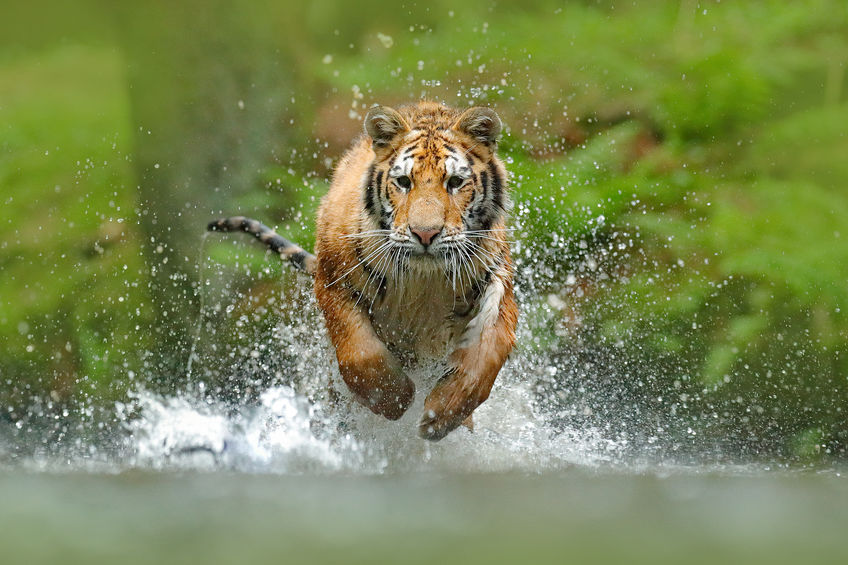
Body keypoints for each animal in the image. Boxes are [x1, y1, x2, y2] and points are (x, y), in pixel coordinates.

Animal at [209, 101, 517, 441]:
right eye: (404, 182)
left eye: (455, 183)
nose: (425, 234)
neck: (423, 280)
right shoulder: (333, 282)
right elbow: (360, 352)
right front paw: (395, 399)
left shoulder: (498, 283)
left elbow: (488, 353)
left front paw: (442, 414)